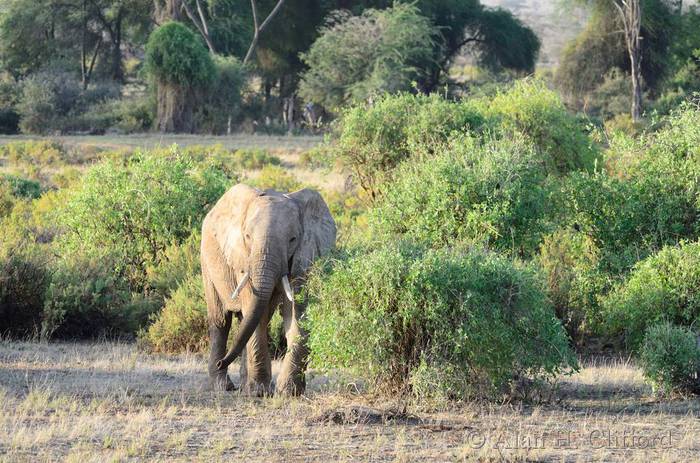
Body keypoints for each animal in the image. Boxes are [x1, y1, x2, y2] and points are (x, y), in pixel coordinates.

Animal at [200, 183, 336, 396]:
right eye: (247, 237)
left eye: (292, 239)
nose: (223, 362)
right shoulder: (243, 259)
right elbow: (256, 313)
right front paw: (259, 393)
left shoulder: (304, 258)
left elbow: (296, 314)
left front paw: (288, 392)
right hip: (207, 261)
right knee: (221, 320)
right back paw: (224, 387)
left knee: (246, 319)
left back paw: (242, 385)